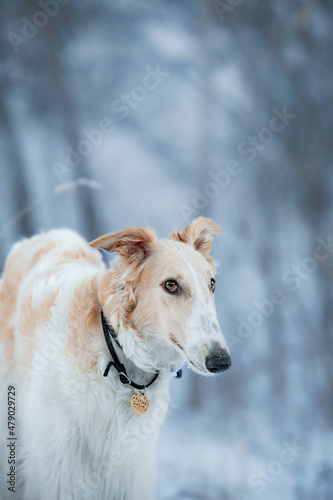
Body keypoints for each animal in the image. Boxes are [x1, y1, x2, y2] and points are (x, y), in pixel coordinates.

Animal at [0, 217, 230, 500]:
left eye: (212, 283)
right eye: (171, 284)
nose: (221, 361)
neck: (120, 360)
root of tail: (49, 233)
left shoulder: (131, 475)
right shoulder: (58, 474)